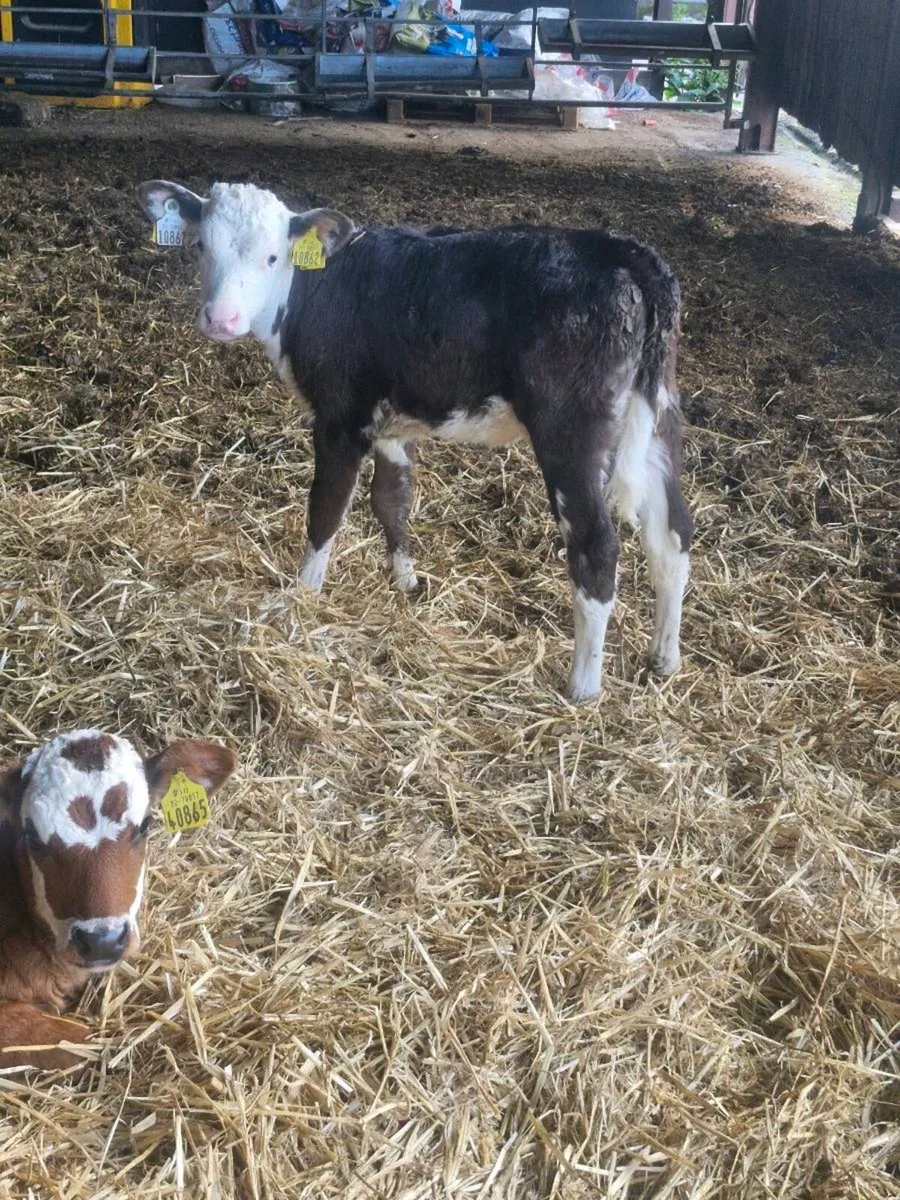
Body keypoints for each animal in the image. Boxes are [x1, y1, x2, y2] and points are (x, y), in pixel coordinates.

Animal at [137, 180, 693, 701]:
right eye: (202, 246)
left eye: (272, 256)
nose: (221, 319)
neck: (314, 287)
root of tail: (618, 249)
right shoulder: (390, 423)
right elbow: (392, 498)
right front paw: (404, 579)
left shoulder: (342, 417)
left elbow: (326, 509)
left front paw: (301, 597)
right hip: (661, 416)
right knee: (672, 534)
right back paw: (664, 656)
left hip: (571, 430)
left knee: (597, 546)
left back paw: (583, 686)